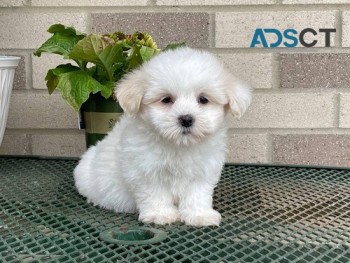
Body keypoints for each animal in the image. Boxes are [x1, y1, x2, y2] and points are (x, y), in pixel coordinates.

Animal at [75, 47, 252, 227]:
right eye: (166, 99)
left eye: (203, 99)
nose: (186, 119)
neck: (179, 145)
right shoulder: (145, 171)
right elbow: (154, 194)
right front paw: (160, 214)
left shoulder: (202, 172)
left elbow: (197, 194)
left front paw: (199, 215)